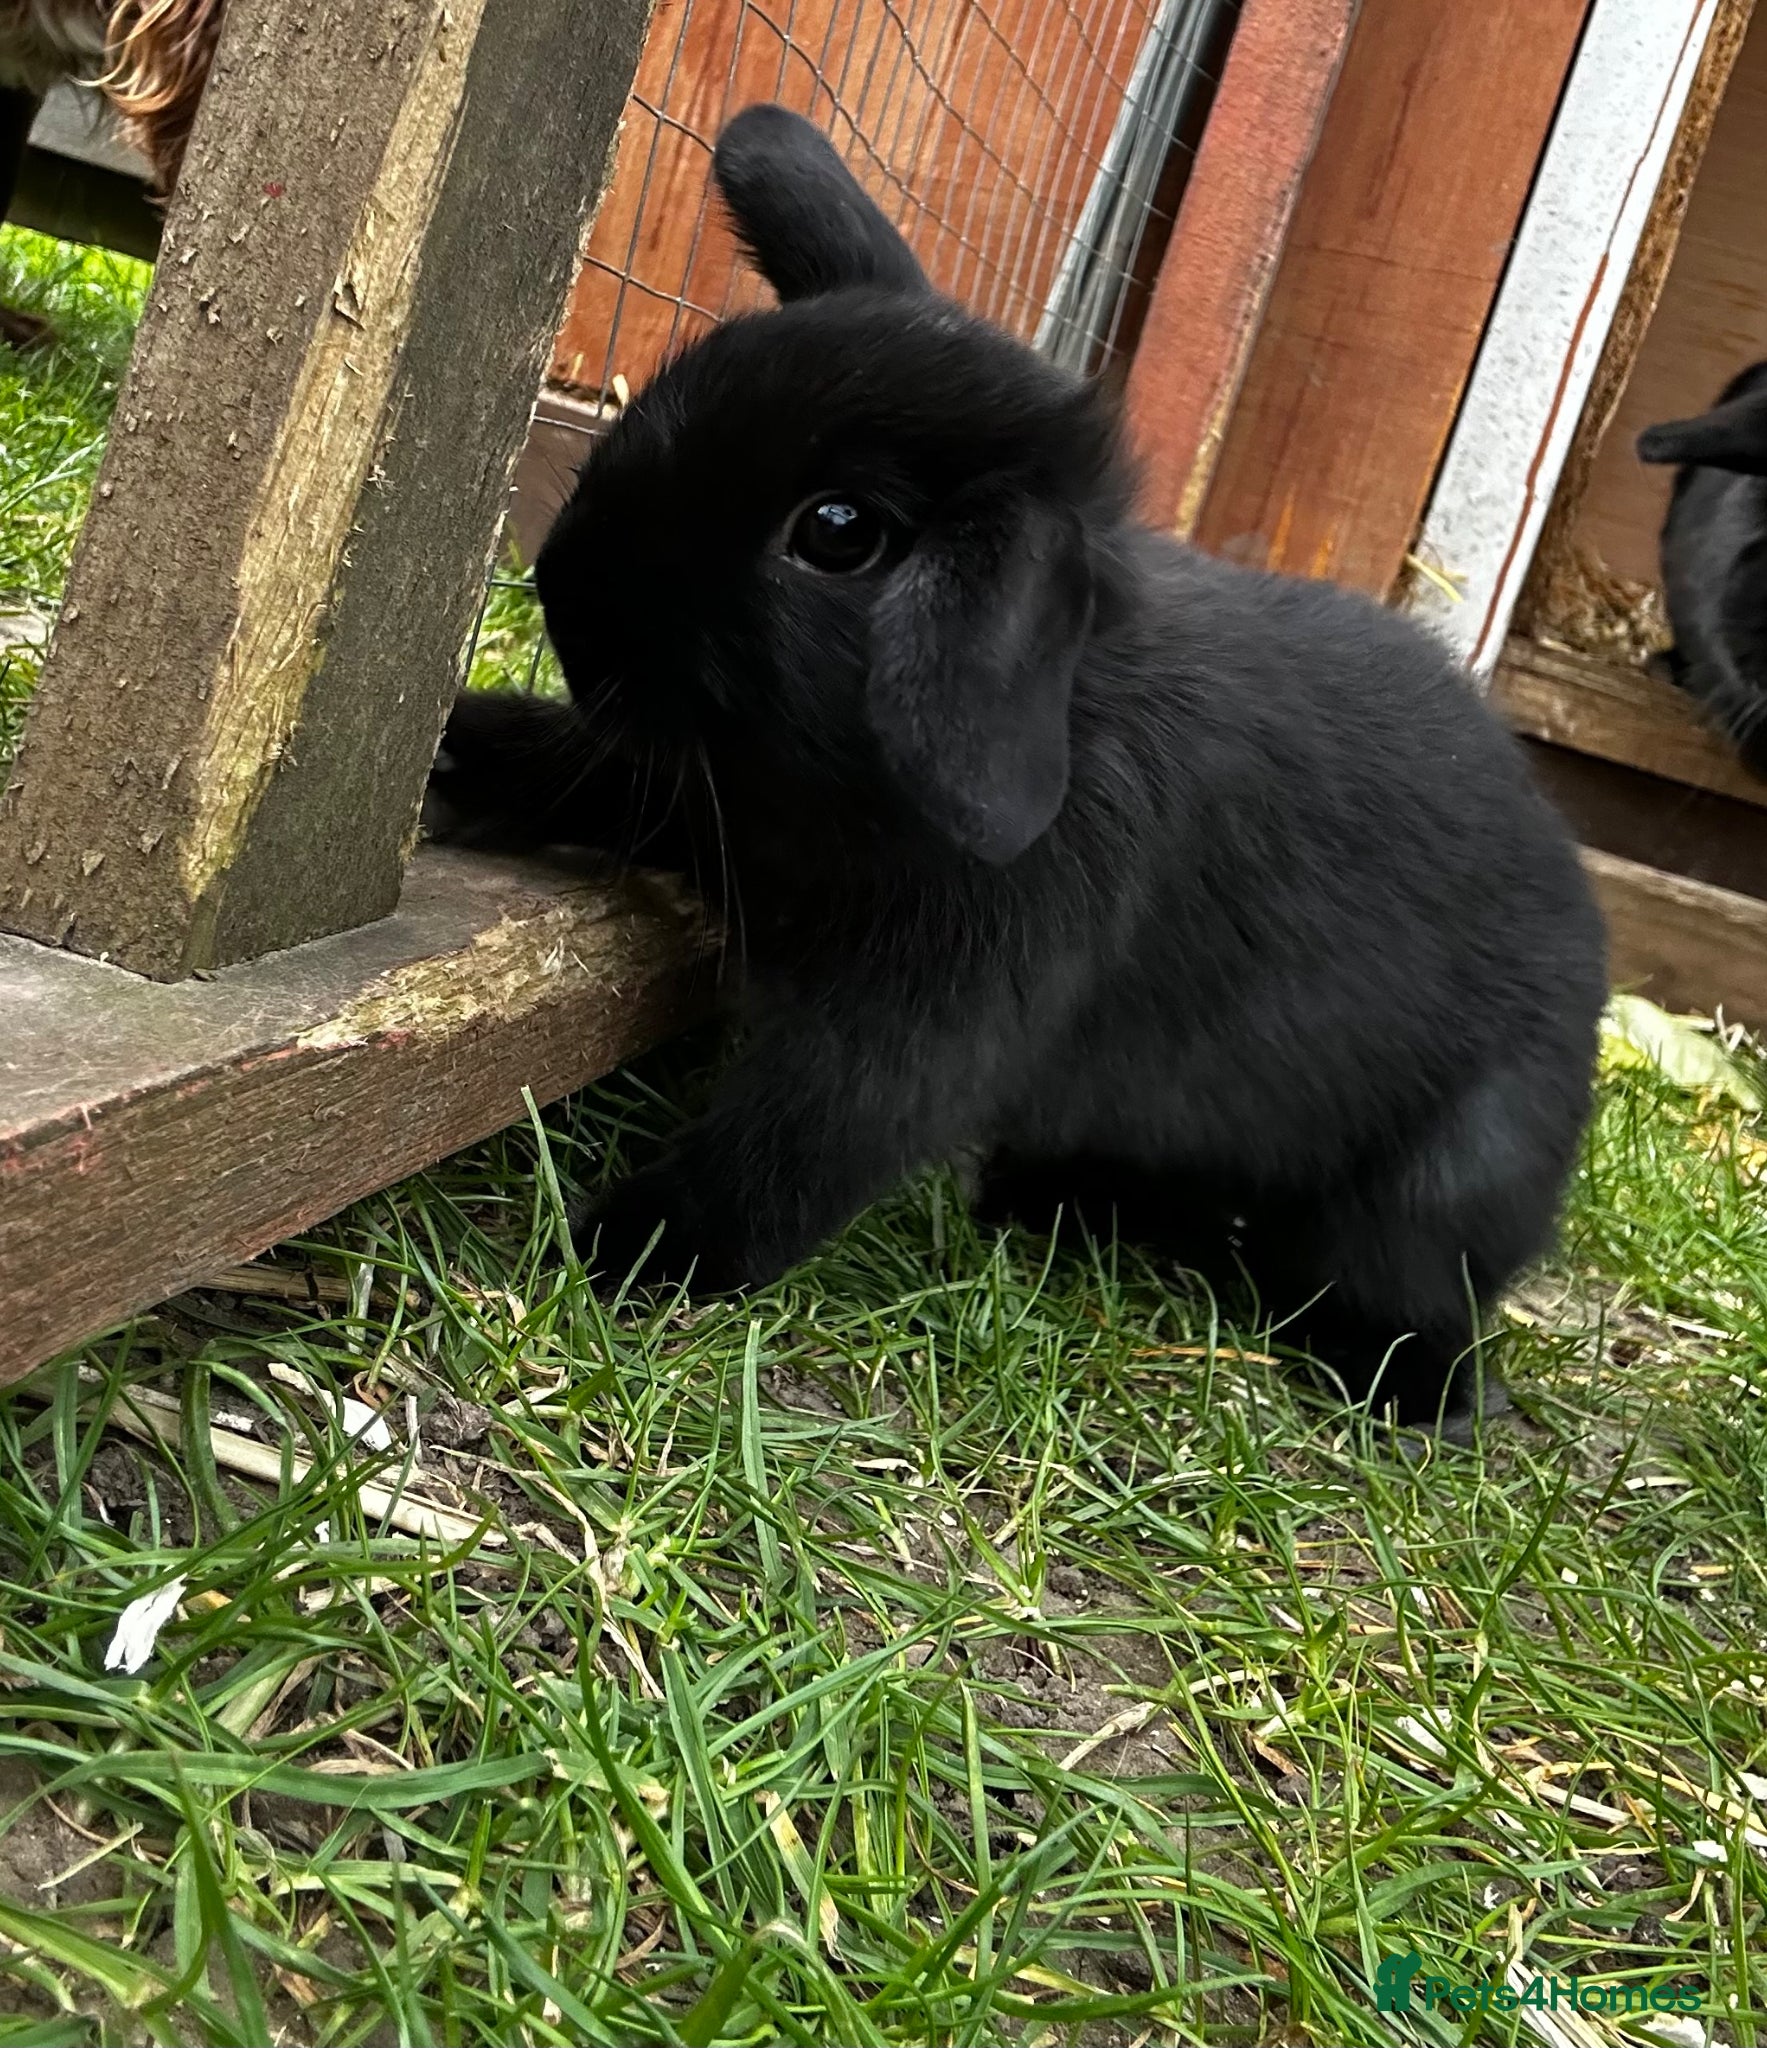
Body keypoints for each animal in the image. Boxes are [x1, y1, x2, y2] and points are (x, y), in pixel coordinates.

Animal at [429, 102, 1607, 1428]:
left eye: (836, 532)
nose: (565, 587)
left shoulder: (927, 1015)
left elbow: (796, 1145)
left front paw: (620, 1250)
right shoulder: (725, 797)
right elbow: (609, 775)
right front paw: (461, 754)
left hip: (1444, 1180)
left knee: (1405, 1285)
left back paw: (1416, 1397)